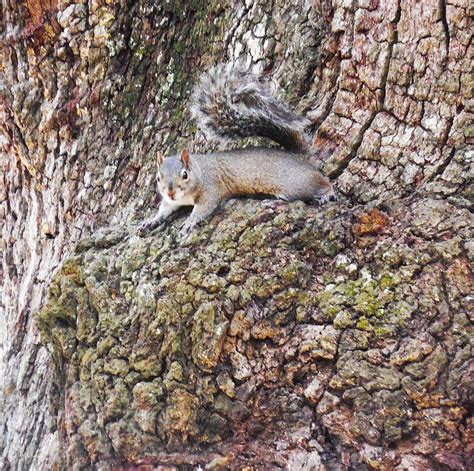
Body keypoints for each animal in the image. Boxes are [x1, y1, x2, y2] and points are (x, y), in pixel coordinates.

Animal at [139, 62, 336, 236]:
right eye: (158, 178)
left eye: (184, 175)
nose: (170, 191)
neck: (198, 171)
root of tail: (298, 157)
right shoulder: (171, 202)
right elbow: (165, 208)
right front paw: (152, 220)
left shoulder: (211, 189)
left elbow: (204, 207)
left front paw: (190, 221)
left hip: (294, 184)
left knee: (323, 182)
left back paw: (326, 194)